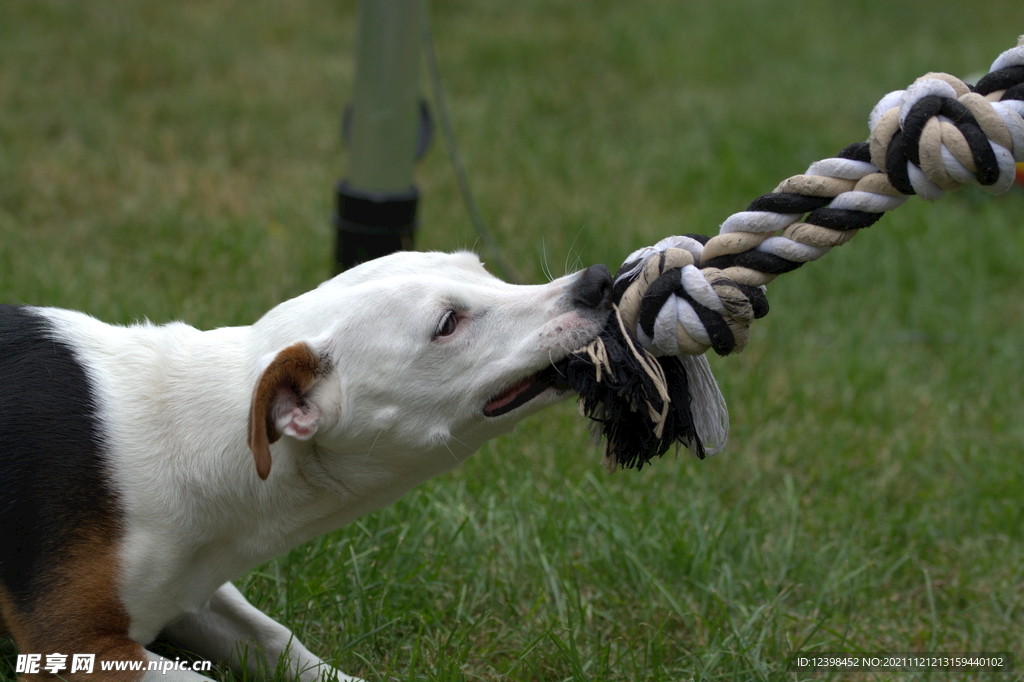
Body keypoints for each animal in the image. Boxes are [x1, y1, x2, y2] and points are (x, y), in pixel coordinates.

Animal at [0, 250, 610, 679]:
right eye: (447, 324)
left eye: (483, 270)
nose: (599, 282)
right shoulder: (74, 645)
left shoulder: (191, 592)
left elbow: (278, 640)